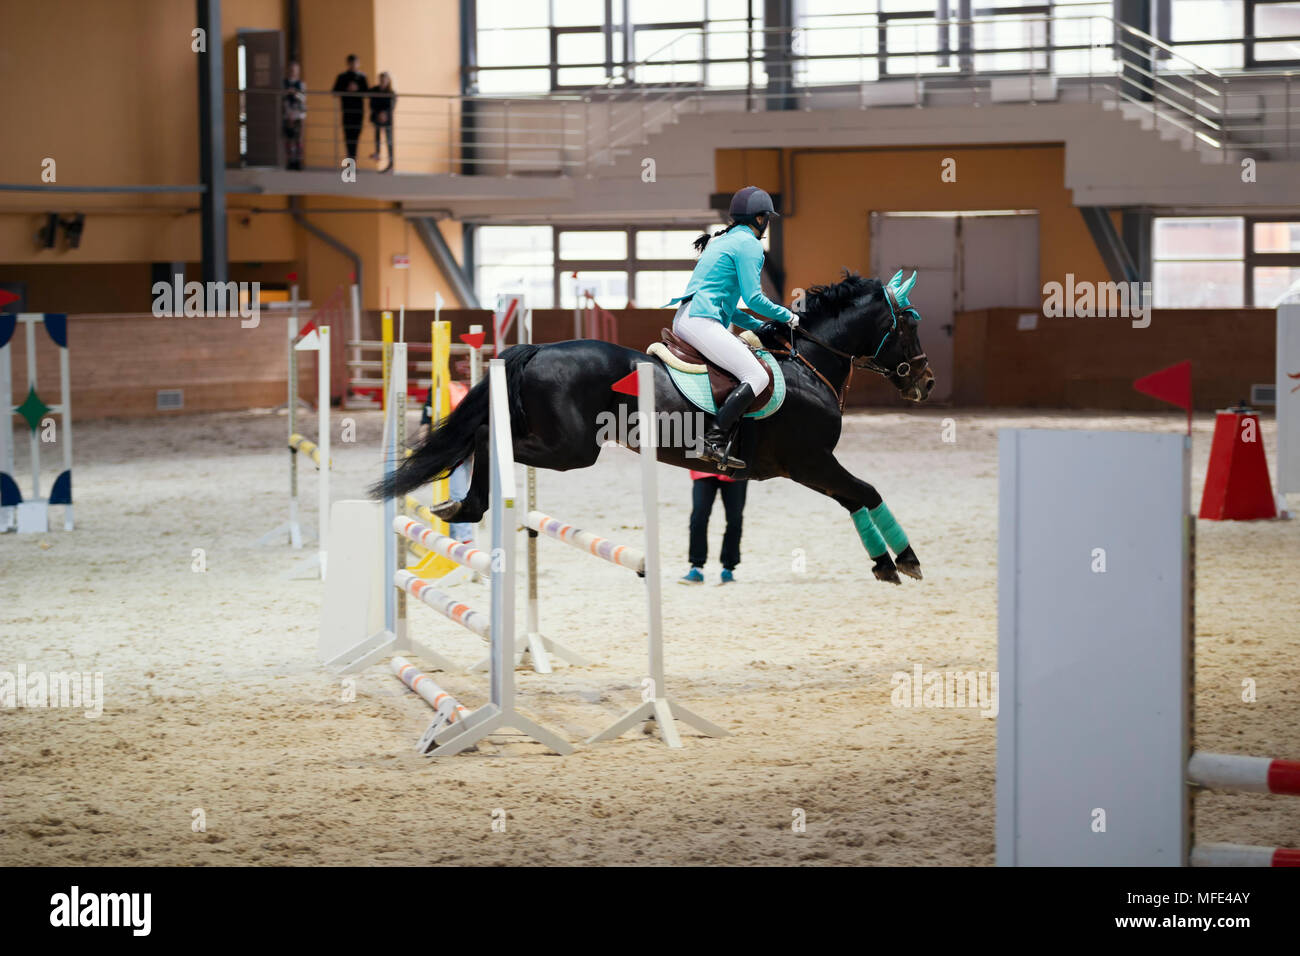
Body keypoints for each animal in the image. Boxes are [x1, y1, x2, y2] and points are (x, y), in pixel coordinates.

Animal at [377, 269, 935, 582]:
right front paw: (904, 558)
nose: (925, 383)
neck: (809, 363)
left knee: (481, 437)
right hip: (570, 449)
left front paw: (887, 562)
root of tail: (538, 349)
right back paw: (469, 504)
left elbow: (856, 499)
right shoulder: (810, 461)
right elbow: (866, 492)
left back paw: (464, 505)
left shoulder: (810, 467)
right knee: (488, 438)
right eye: (908, 322)